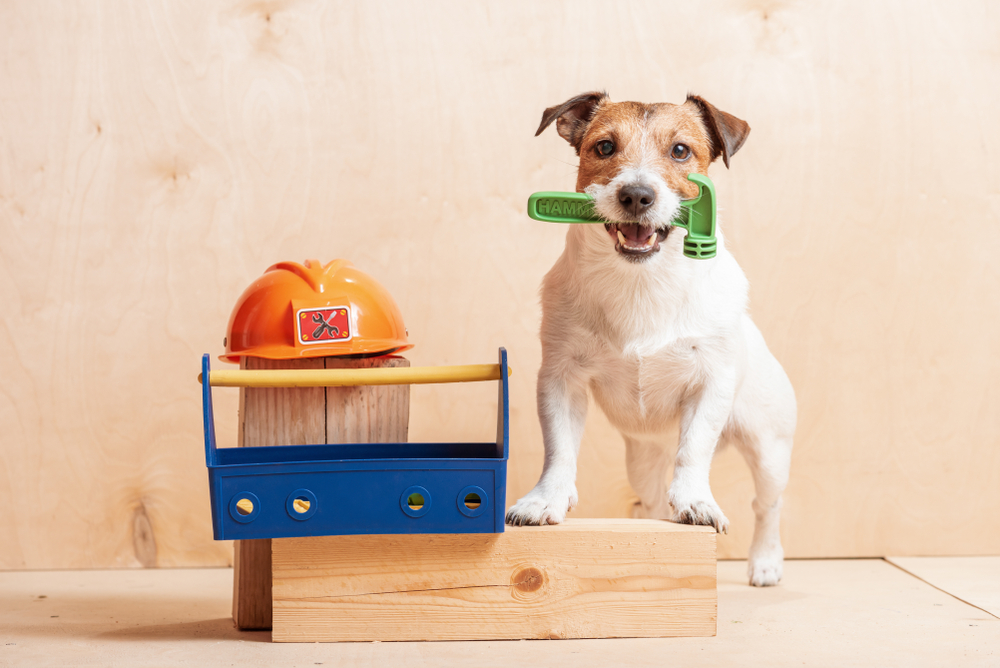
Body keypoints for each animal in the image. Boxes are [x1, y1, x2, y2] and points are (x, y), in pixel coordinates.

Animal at [508, 92, 796, 584]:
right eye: (605, 147)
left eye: (680, 151)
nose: (637, 195)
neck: (642, 282)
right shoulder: (560, 379)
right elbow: (559, 449)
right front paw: (545, 499)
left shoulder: (710, 384)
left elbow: (694, 451)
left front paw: (697, 500)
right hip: (643, 461)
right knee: (652, 499)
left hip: (768, 448)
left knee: (767, 505)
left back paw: (765, 561)